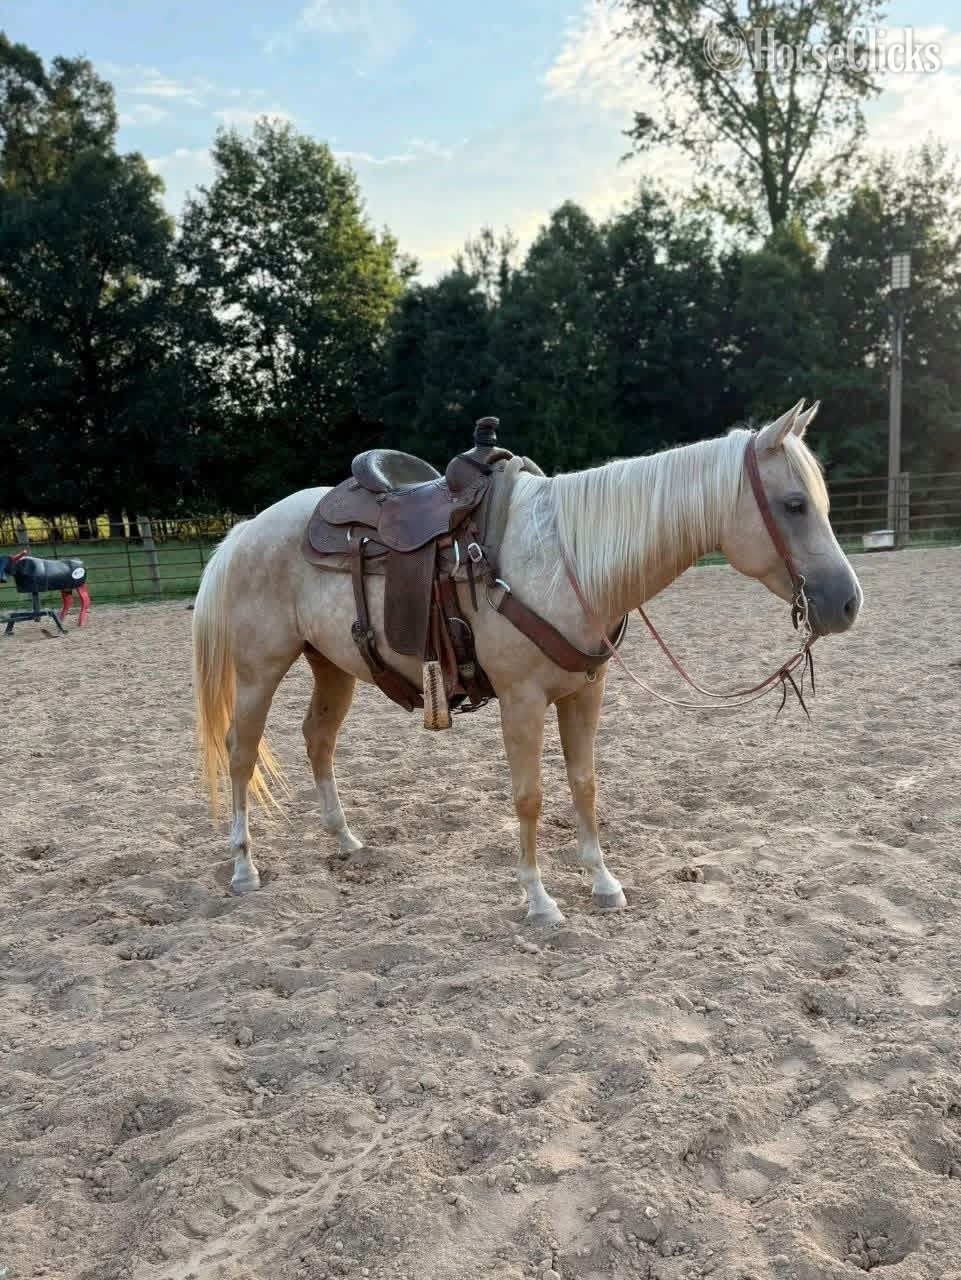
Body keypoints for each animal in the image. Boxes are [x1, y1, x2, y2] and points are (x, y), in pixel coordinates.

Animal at [192, 401, 862, 922]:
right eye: (795, 504)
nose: (848, 602)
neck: (567, 561)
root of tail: (247, 528)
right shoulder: (521, 702)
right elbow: (530, 796)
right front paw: (540, 901)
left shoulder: (585, 692)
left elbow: (585, 785)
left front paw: (602, 882)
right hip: (259, 670)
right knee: (240, 752)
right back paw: (244, 868)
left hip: (332, 665)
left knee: (318, 740)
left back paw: (346, 841)